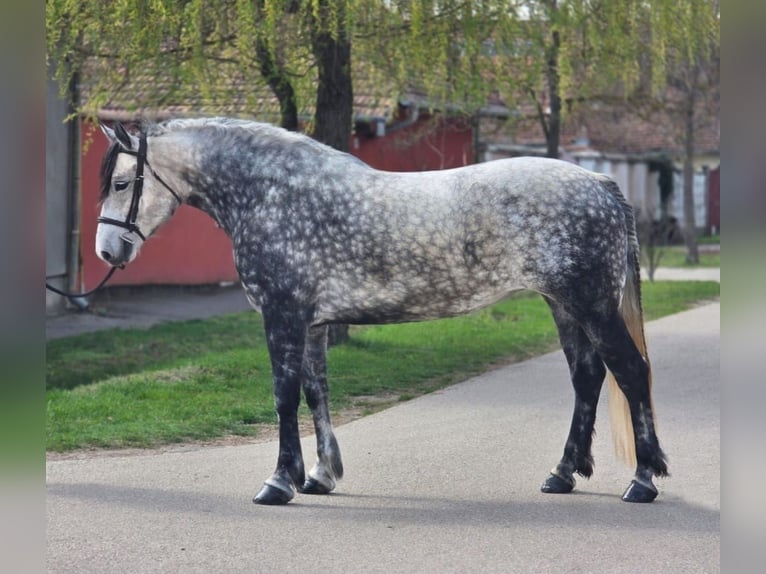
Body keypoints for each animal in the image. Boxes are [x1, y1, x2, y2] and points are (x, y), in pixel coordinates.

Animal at [96, 117, 668, 505]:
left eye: (122, 184)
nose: (106, 252)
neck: (274, 194)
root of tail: (603, 186)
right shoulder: (314, 324)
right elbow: (316, 393)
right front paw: (320, 476)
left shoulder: (282, 317)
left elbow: (283, 396)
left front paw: (279, 482)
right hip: (564, 306)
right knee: (588, 377)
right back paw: (563, 473)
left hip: (591, 306)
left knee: (631, 371)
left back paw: (642, 481)